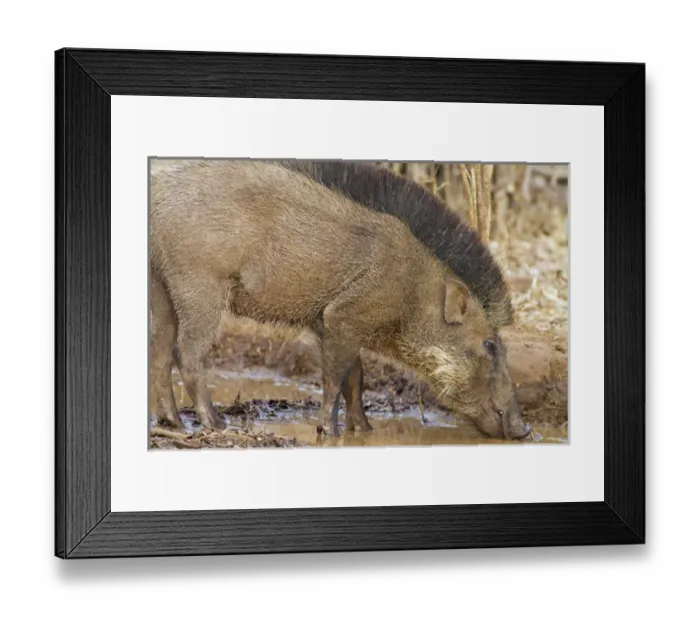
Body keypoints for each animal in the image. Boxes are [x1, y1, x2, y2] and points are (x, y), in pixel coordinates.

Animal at [149, 159, 532, 440]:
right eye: (489, 345)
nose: (524, 429)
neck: (415, 292)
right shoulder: (342, 317)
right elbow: (335, 377)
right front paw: (329, 432)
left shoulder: (330, 322)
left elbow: (355, 377)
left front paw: (364, 430)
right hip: (200, 287)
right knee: (187, 354)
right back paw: (215, 424)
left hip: (161, 287)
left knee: (160, 351)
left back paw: (173, 424)